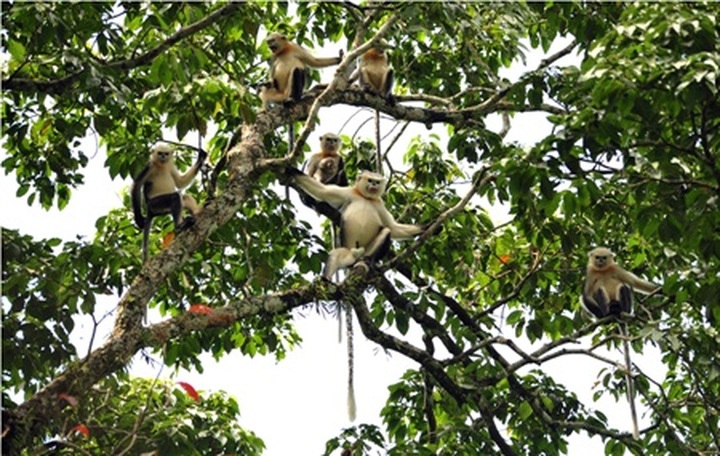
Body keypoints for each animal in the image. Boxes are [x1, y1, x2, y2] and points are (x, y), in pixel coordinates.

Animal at [581, 246, 661, 440]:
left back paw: (620, 310)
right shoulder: (590, 273)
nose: (600, 261)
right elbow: (586, 296)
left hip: (625, 304)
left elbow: (635, 282)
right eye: (597, 257)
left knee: (623, 286)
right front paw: (601, 316)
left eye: (604, 258)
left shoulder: (616, 268)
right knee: (600, 291)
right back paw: (610, 312)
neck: (603, 271)